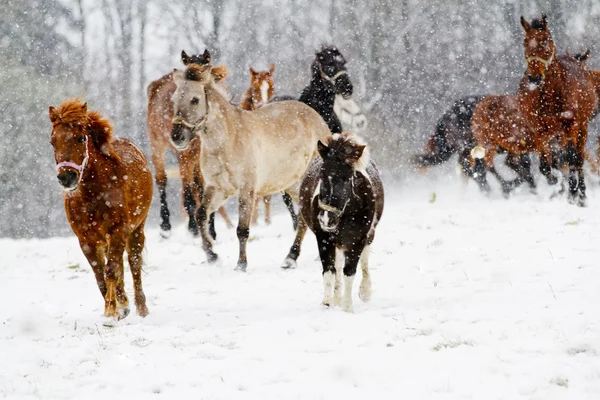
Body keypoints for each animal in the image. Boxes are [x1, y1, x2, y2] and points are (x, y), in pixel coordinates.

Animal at [49, 98, 152, 320]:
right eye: (52, 141)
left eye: (80, 138)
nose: (66, 177)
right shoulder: (86, 240)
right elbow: (100, 275)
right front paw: (118, 309)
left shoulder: (118, 230)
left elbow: (111, 270)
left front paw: (111, 313)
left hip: (136, 229)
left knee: (133, 262)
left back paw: (141, 308)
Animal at [146, 48, 233, 239]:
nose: (177, 135)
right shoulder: (184, 156)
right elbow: (188, 195)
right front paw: (194, 229)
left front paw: (211, 230)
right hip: (157, 146)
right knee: (162, 180)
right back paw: (166, 226)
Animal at [169, 54, 330, 272]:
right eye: (174, 99)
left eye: (195, 99)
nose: (177, 137)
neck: (225, 140)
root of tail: (318, 120)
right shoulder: (217, 188)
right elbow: (201, 214)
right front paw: (212, 255)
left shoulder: (246, 190)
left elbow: (242, 229)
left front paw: (241, 264)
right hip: (293, 185)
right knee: (305, 216)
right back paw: (291, 258)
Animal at [282, 134, 384, 312]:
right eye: (322, 176)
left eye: (346, 179)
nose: (326, 219)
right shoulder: (324, 238)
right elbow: (329, 270)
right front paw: (328, 303)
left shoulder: (357, 240)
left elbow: (350, 271)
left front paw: (347, 307)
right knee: (337, 267)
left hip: (368, 235)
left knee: (364, 260)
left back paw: (365, 292)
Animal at [516, 14, 596, 206]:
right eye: (525, 42)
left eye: (545, 41)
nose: (534, 77)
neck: (551, 96)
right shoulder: (540, 131)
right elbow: (546, 166)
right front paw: (555, 180)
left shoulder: (570, 126)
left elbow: (571, 157)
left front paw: (573, 191)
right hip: (555, 135)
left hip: (580, 128)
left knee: (578, 158)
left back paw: (581, 194)